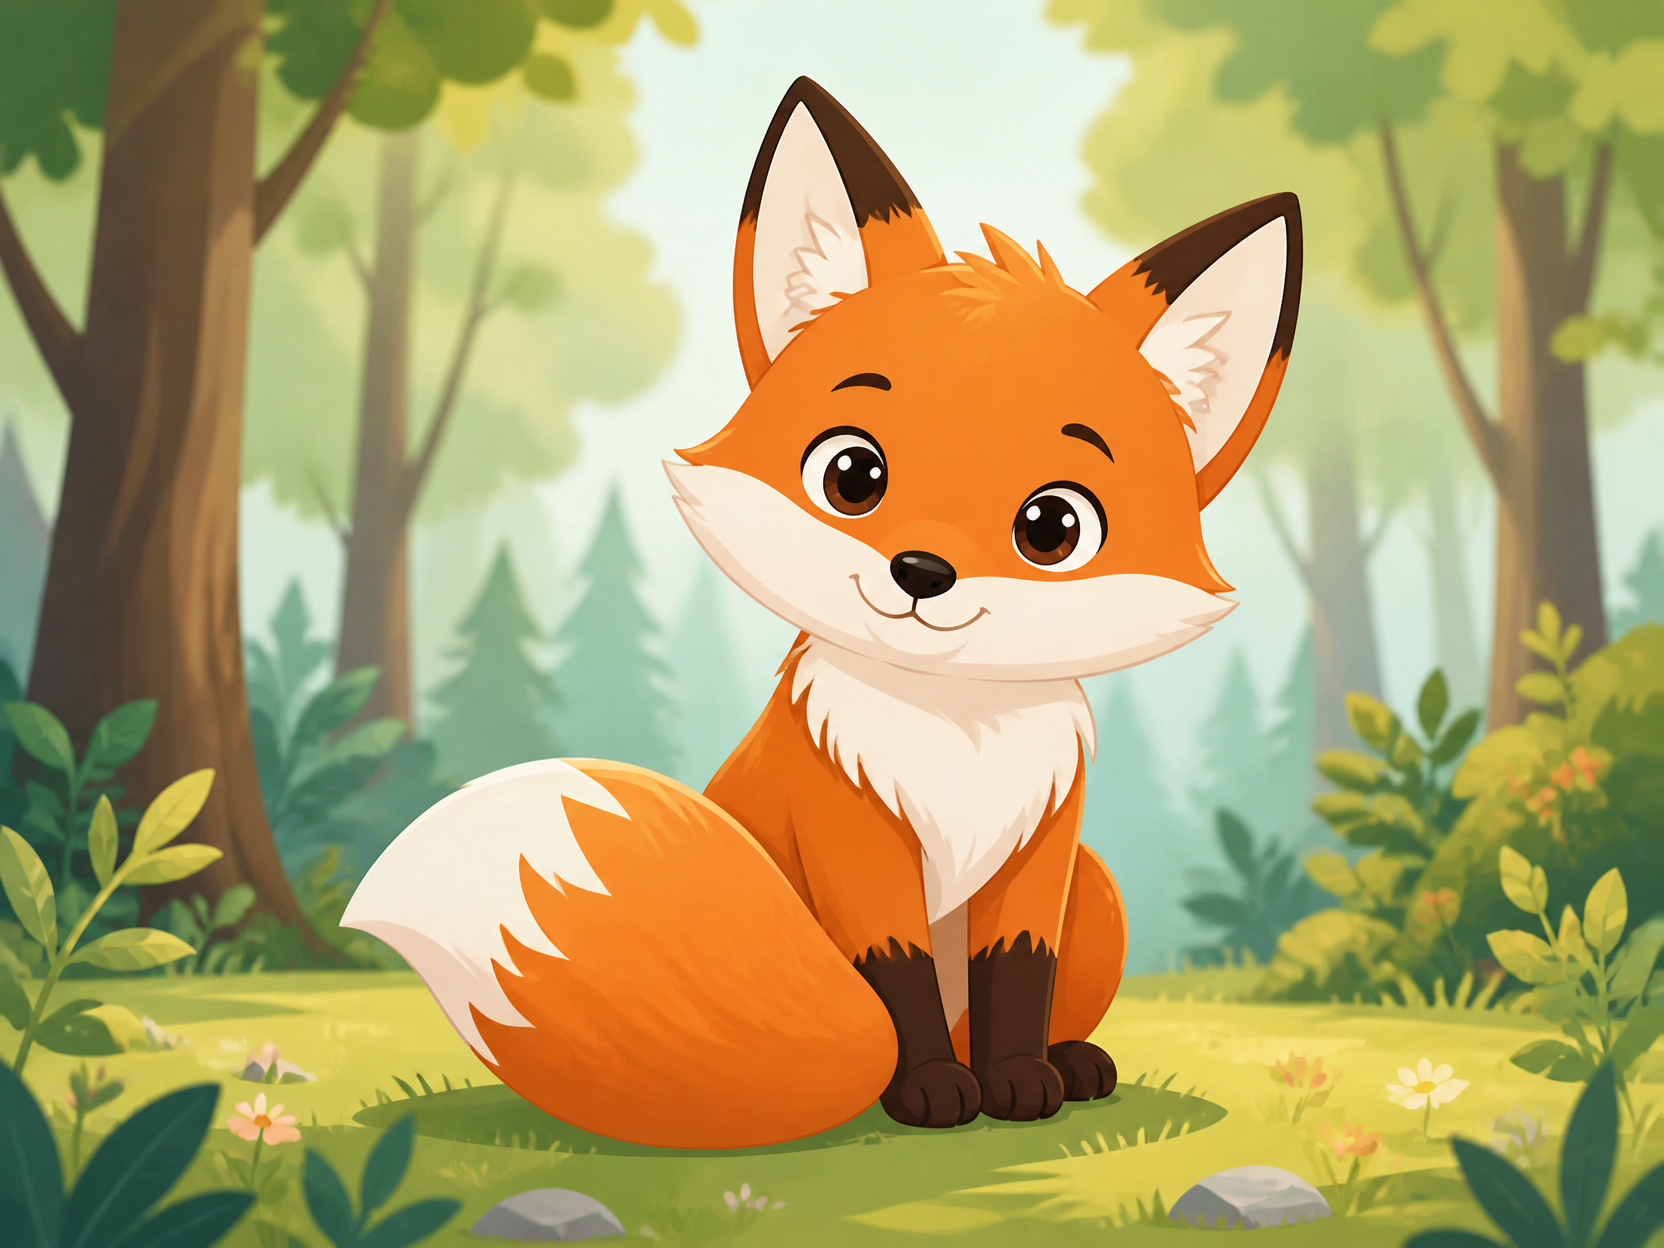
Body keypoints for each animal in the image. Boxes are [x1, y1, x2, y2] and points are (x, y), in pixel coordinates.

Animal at [342, 77, 1302, 1150]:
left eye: (1053, 527)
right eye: (853, 474)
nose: (921, 571)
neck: (953, 733)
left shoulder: (1043, 852)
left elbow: (1020, 975)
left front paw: (1018, 1080)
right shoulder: (851, 834)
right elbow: (898, 979)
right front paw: (934, 1094)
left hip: (1094, 886)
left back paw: (1071, 1061)